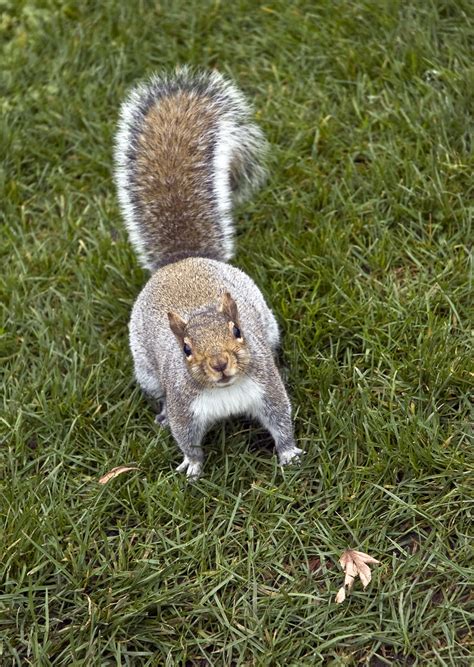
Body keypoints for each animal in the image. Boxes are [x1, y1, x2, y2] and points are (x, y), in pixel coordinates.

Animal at [113, 68, 302, 480]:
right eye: (185, 349)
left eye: (237, 331)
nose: (219, 364)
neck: (225, 392)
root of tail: (182, 261)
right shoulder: (186, 408)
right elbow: (187, 439)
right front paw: (192, 467)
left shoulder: (267, 391)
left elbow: (281, 422)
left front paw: (290, 454)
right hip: (146, 369)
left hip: (269, 325)